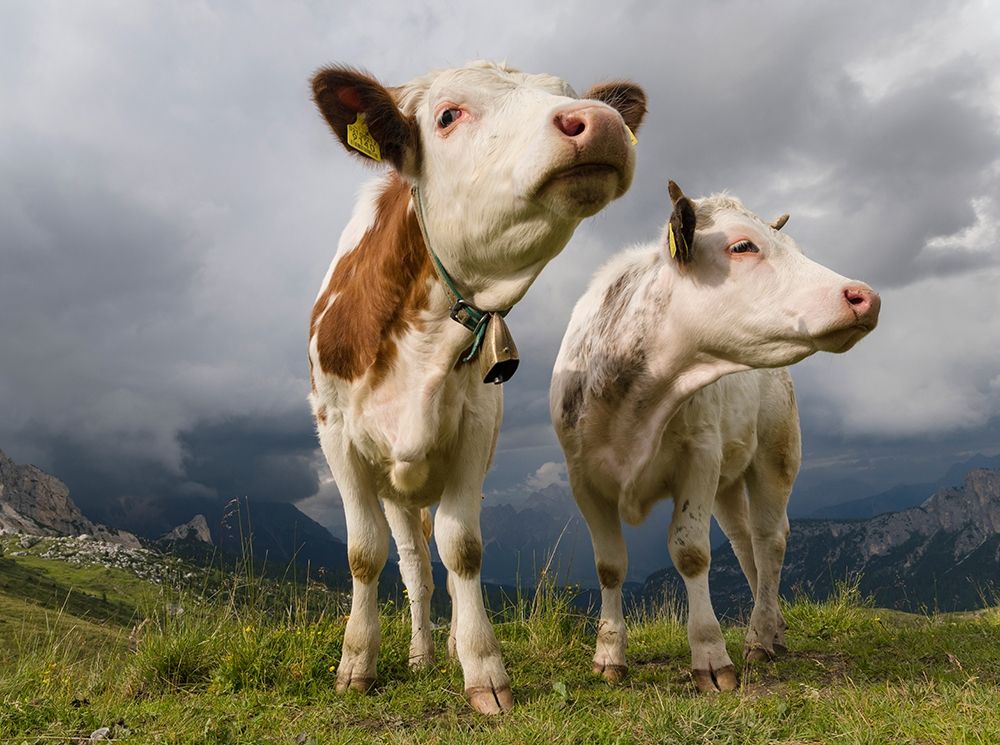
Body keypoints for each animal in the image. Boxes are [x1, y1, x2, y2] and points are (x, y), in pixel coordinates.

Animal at [308, 61, 646, 713]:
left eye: (568, 95)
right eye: (447, 115)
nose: (600, 122)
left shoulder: (475, 430)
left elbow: (463, 548)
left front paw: (483, 671)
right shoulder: (336, 434)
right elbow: (364, 554)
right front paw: (356, 663)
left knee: (432, 560)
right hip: (395, 489)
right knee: (414, 568)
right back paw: (419, 654)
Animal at [550, 181, 880, 692]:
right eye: (742, 246)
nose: (865, 296)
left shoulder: (699, 458)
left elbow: (691, 553)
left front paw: (710, 656)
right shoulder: (582, 475)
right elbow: (610, 565)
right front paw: (608, 655)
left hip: (776, 456)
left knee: (769, 539)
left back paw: (760, 636)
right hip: (727, 481)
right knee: (745, 543)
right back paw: (774, 628)